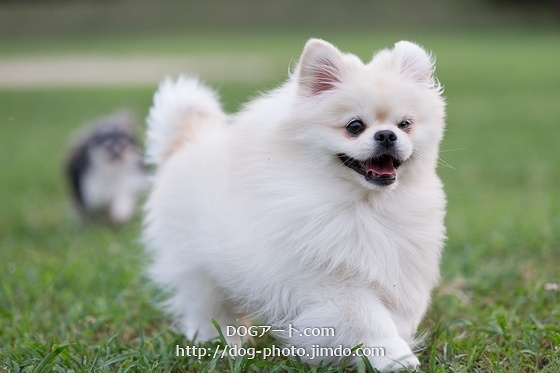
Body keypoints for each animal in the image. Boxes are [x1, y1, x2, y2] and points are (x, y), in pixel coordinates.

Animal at [143, 37, 446, 370]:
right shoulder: (333, 281)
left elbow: (400, 316)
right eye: (354, 126)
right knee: (208, 307)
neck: (364, 205)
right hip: (199, 268)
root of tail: (184, 143)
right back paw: (220, 343)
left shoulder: (400, 268)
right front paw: (394, 357)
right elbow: (371, 320)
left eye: (405, 124)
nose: (387, 135)